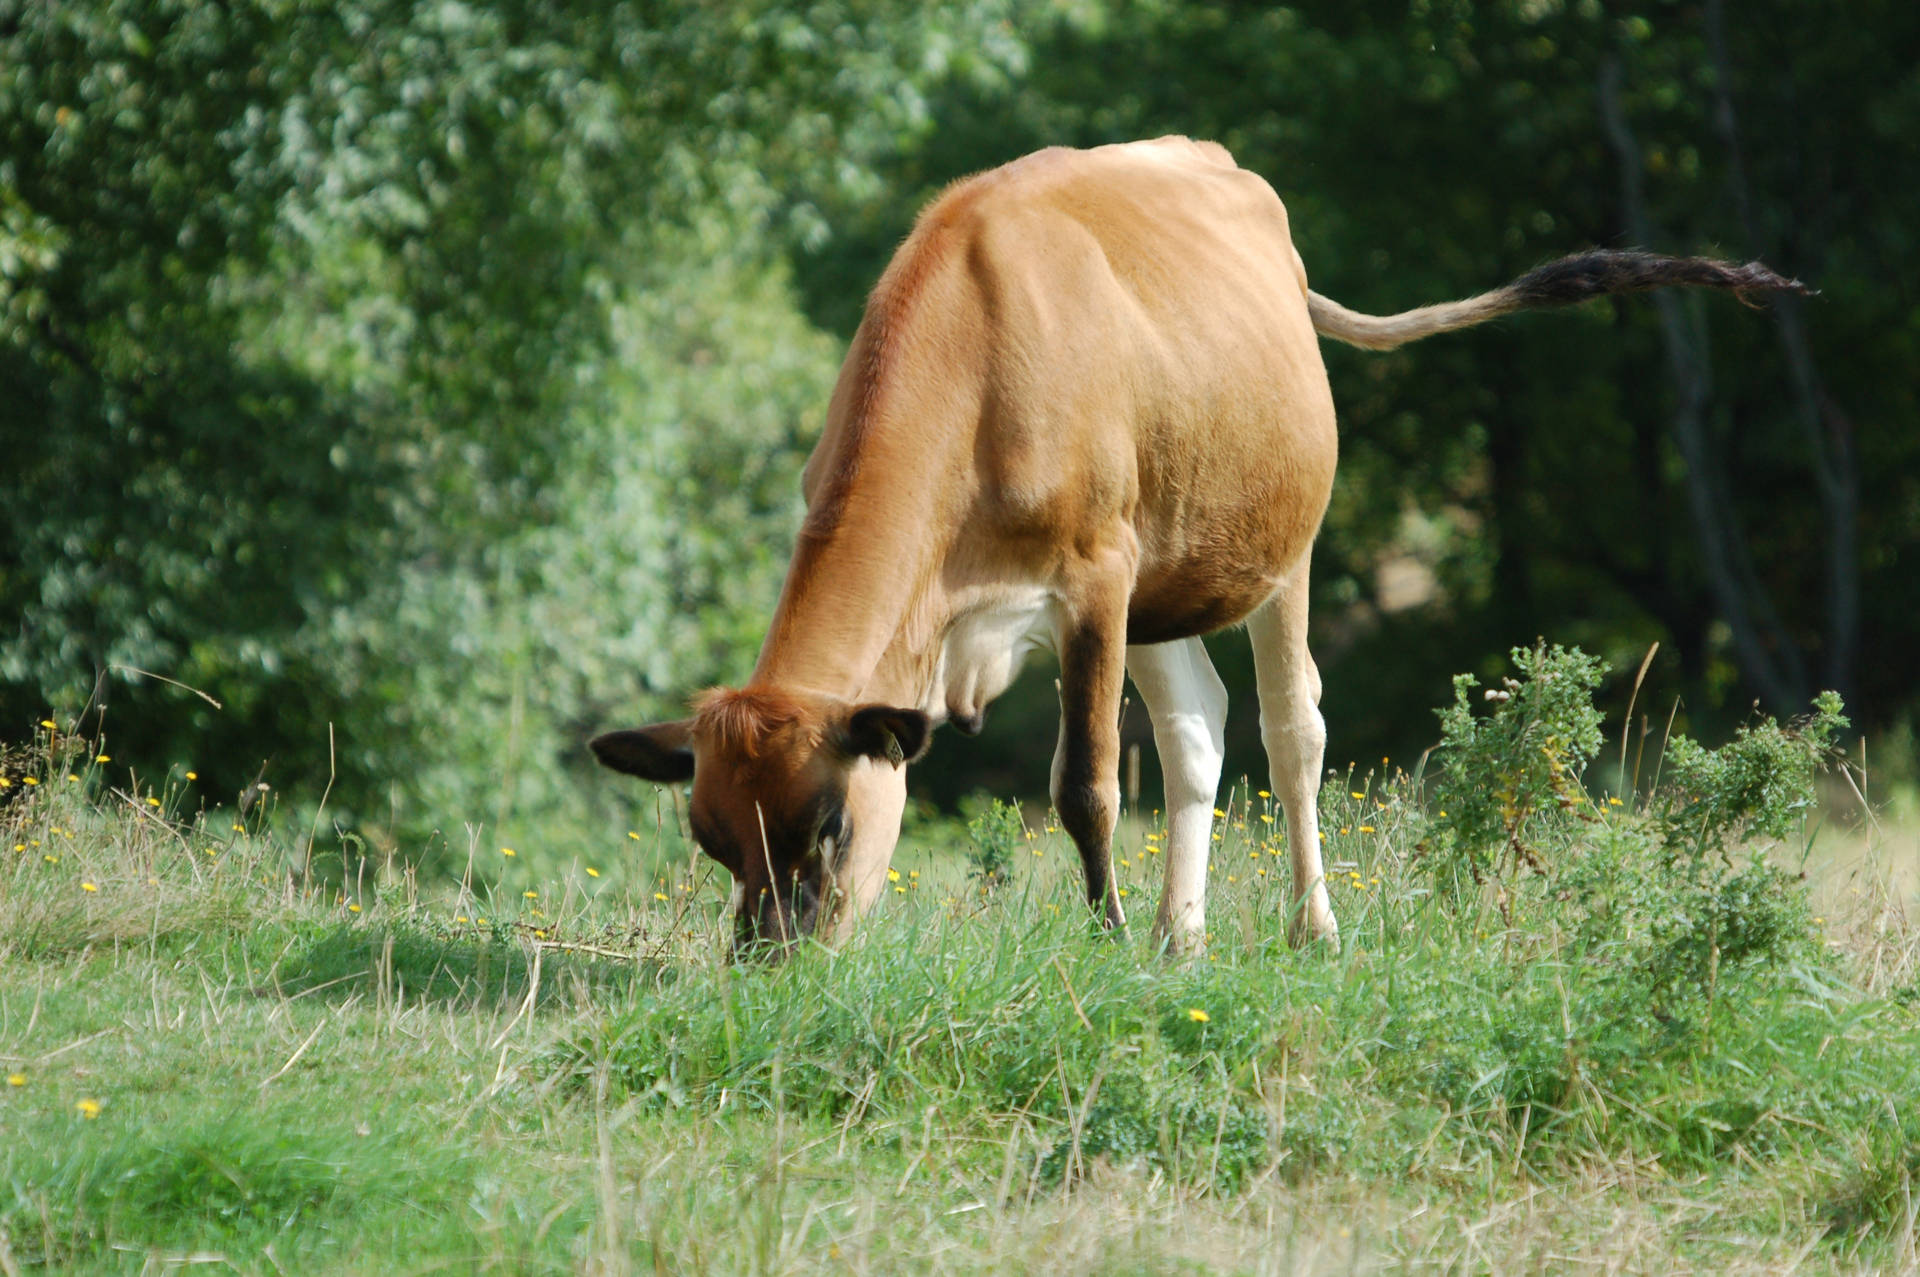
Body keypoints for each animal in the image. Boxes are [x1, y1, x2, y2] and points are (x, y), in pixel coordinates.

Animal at [591, 139, 1804, 956]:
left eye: (831, 823)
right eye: (712, 840)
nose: (770, 962)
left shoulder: (1094, 578)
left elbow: (1083, 783)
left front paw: (1106, 940)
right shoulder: (1103, 593)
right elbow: (1141, 758)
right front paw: (1144, 935)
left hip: (1280, 547)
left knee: (1293, 727)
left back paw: (1310, 926)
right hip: (1173, 575)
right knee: (1197, 732)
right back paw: (1185, 935)